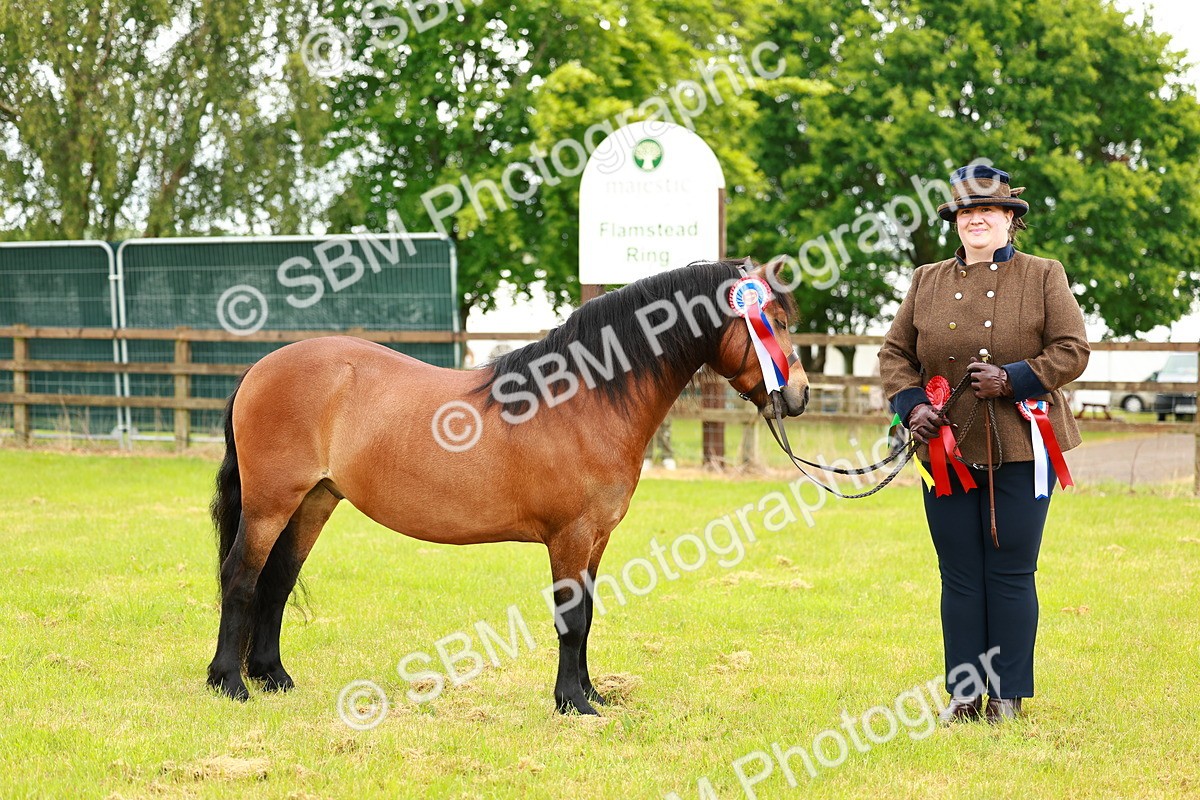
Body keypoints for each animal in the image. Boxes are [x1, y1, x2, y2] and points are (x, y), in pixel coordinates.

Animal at [206, 258, 810, 715]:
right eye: (773, 321)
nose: (799, 395)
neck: (585, 400)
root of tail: (259, 368)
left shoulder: (596, 540)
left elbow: (588, 616)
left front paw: (591, 694)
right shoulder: (570, 537)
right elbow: (571, 619)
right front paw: (573, 704)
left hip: (314, 501)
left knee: (278, 581)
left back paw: (273, 677)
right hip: (270, 504)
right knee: (241, 577)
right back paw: (229, 684)